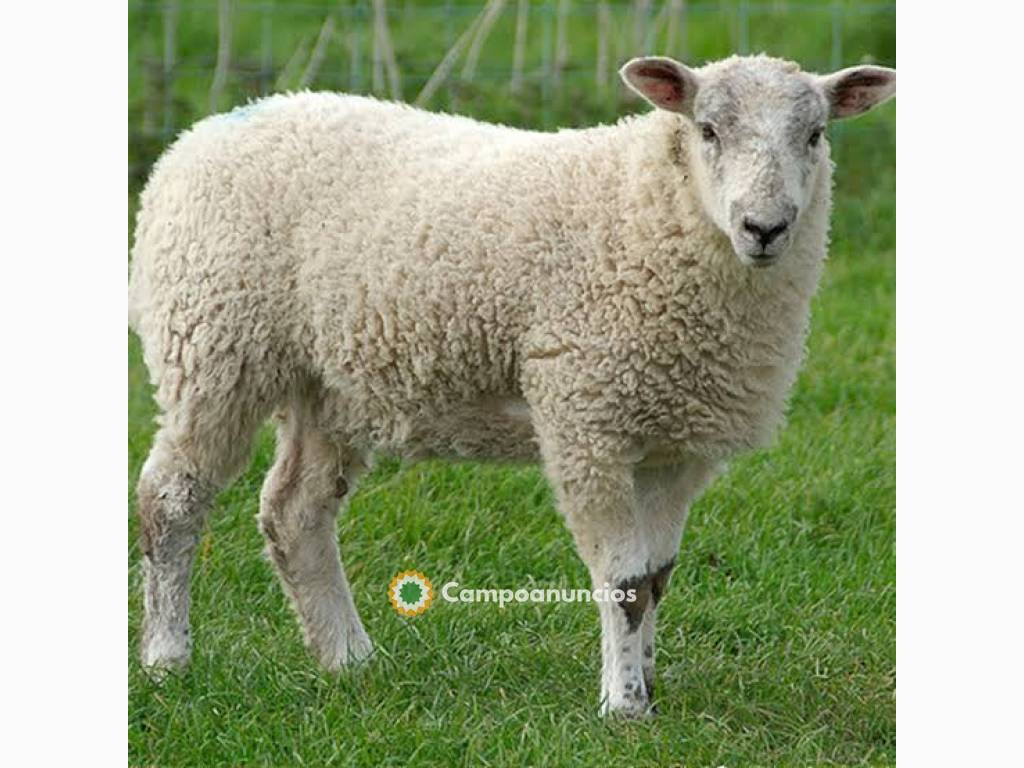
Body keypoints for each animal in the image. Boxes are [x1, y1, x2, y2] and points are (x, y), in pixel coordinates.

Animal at [128, 54, 896, 718]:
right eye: (707, 129)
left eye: (815, 134)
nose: (765, 228)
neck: (648, 210)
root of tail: (204, 133)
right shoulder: (586, 419)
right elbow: (623, 583)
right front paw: (622, 707)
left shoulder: (678, 444)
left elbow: (656, 577)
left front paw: (648, 687)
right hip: (213, 343)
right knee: (171, 499)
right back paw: (168, 658)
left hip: (330, 385)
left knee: (294, 513)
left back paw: (349, 659)